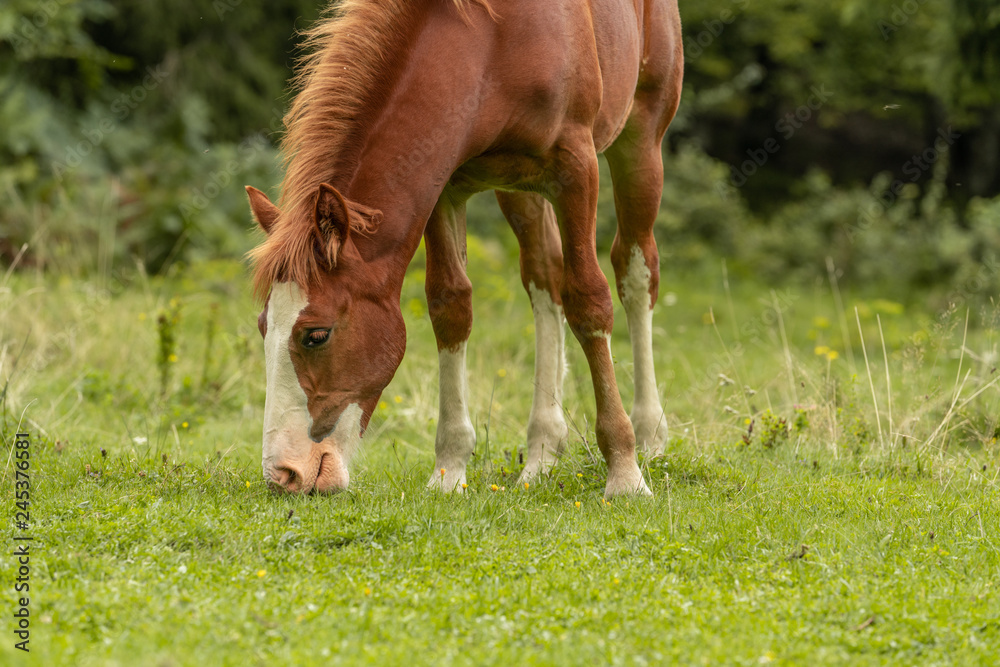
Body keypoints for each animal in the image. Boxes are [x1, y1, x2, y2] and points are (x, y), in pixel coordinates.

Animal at [245, 0, 683, 498]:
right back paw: (542, 454)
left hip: (640, 141)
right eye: (263, 327)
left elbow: (590, 300)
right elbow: (450, 306)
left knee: (634, 268)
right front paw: (449, 471)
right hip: (520, 190)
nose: (284, 474)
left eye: (315, 335)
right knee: (545, 276)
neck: (494, 44)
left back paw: (649, 436)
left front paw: (624, 474)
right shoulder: (446, 183)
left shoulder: (576, 168)